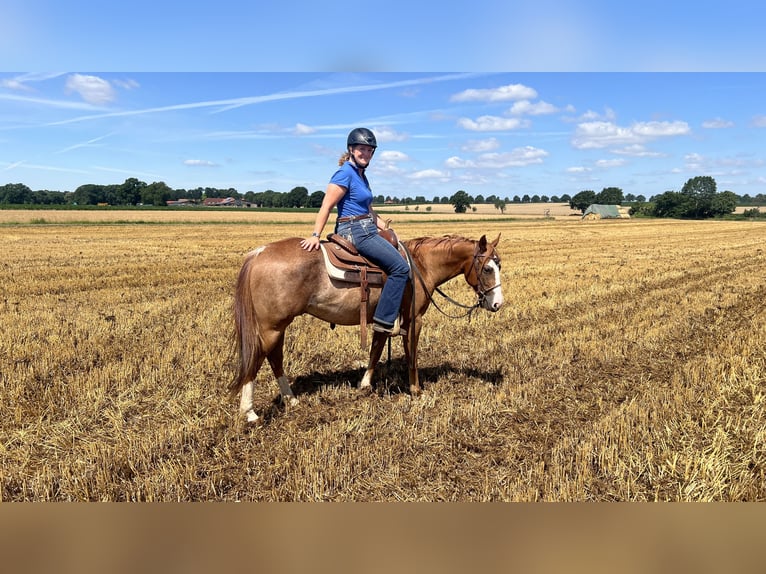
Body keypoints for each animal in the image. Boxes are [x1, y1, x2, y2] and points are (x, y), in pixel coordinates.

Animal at [230, 233, 503, 423]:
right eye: (487, 268)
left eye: (499, 266)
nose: (497, 304)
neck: (420, 266)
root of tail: (260, 253)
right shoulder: (414, 319)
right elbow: (411, 356)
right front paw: (416, 390)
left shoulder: (383, 319)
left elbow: (376, 349)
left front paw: (365, 384)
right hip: (272, 327)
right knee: (257, 359)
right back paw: (250, 412)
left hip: (278, 327)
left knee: (275, 358)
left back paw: (291, 399)